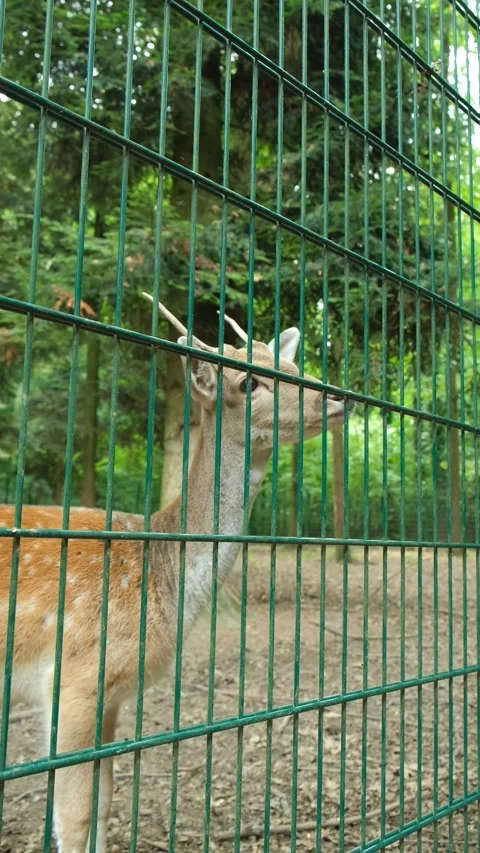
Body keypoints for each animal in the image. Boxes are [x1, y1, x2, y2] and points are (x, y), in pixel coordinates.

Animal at [0, 296, 353, 852]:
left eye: (293, 366)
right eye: (248, 383)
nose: (338, 396)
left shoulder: (112, 695)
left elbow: (106, 799)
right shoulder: (73, 679)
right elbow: (72, 816)